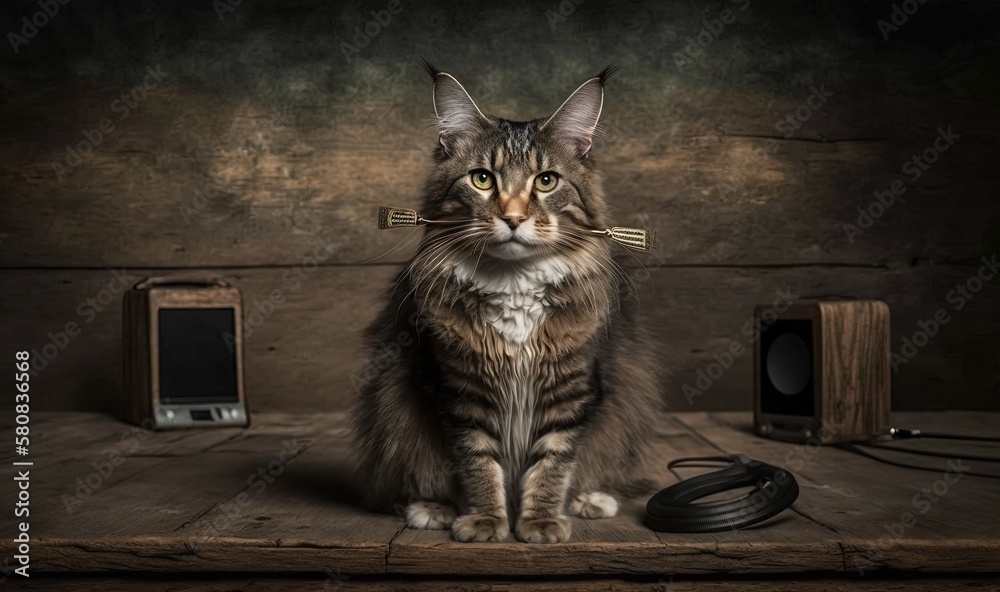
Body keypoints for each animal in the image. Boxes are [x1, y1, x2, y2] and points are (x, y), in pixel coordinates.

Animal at [352, 65, 664, 544]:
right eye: (483, 179)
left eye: (546, 181)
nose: (513, 217)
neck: (514, 287)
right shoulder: (462, 391)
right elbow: (479, 463)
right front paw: (485, 522)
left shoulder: (571, 390)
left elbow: (552, 463)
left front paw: (539, 522)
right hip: (392, 413)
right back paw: (432, 508)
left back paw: (590, 500)